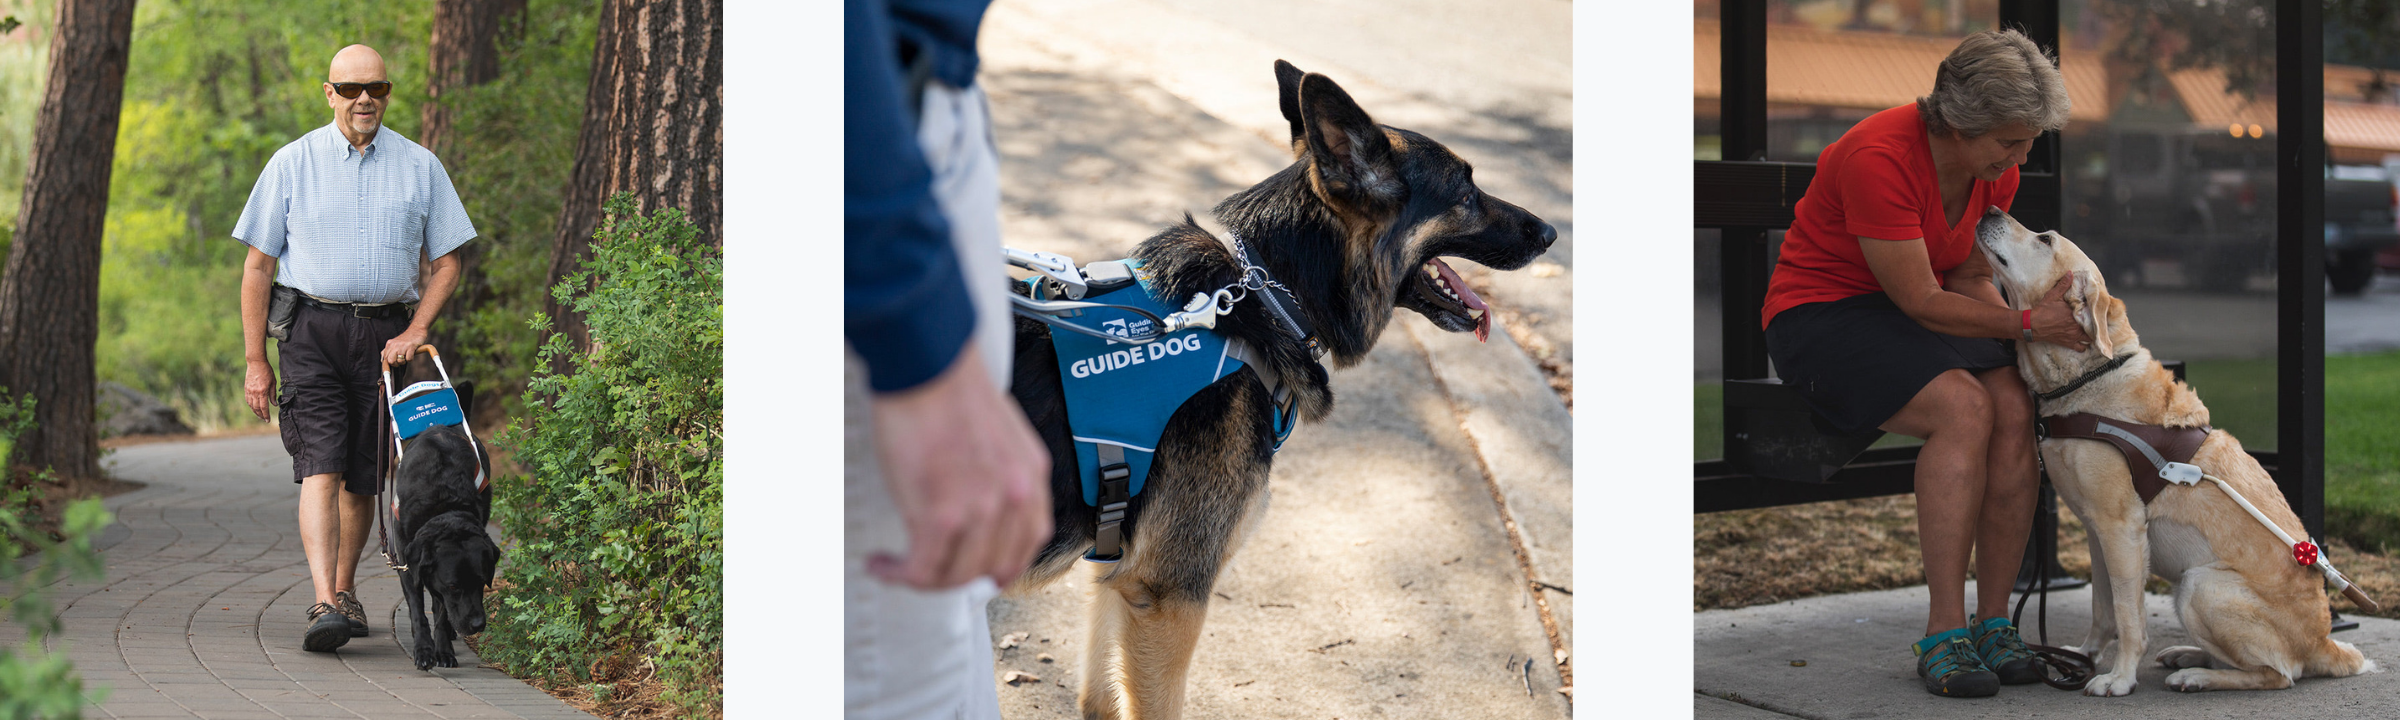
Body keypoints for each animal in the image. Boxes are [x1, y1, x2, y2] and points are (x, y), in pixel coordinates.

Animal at [386, 357, 499, 672]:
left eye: (483, 581)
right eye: (454, 585)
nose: (478, 624)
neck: (442, 503)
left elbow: (441, 612)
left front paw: (443, 650)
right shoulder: (407, 562)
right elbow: (418, 610)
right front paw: (424, 650)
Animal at [1008, 61, 1555, 720]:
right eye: (1467, 195)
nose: (1552, 232)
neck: (1264, 298)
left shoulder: (1118, 578)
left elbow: (1098, 698)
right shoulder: (1170, 598)